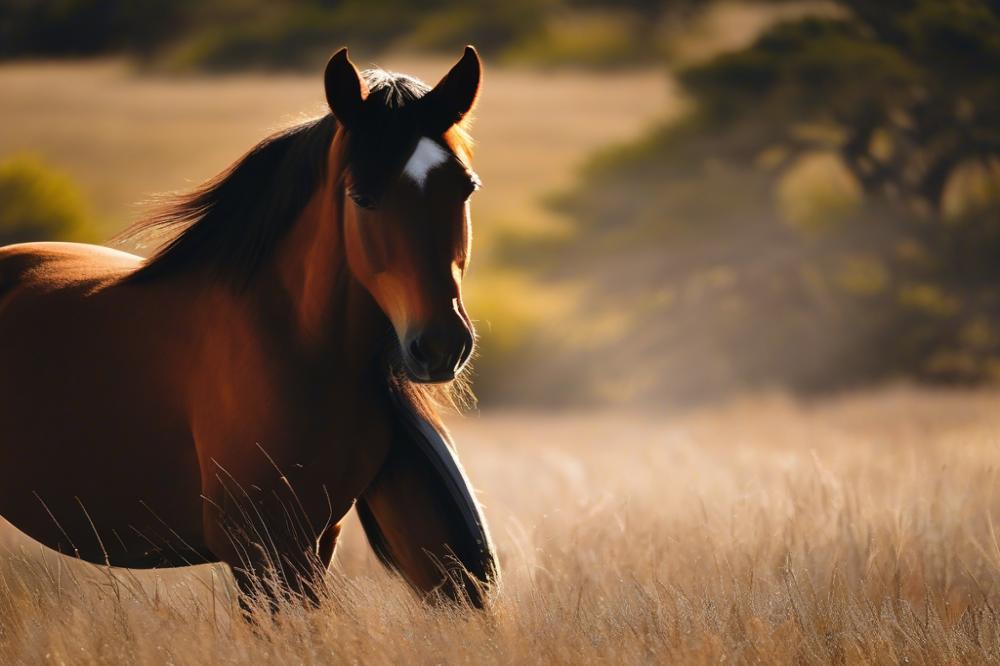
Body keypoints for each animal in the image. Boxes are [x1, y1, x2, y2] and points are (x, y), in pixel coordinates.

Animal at [0, 45, 498, 608]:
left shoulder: (311, 543)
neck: (292, 345)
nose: (440, 345)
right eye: (362, 198)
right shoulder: (256, 551)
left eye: (465, 188)